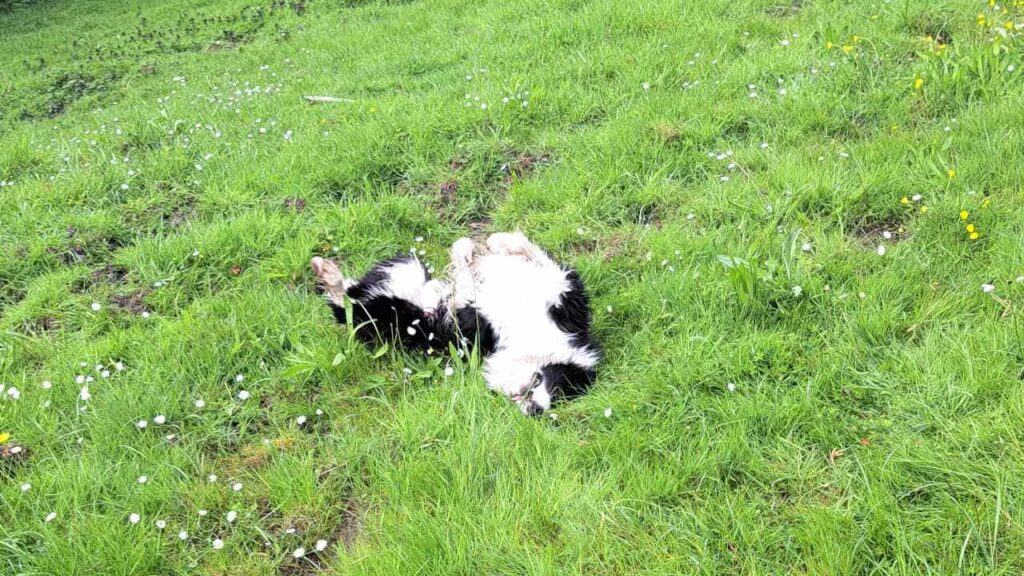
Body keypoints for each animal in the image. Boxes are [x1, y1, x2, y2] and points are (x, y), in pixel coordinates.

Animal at [311, 229, 598, 412]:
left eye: (561, 400)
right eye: (561, 390)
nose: (537, 411)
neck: (534, 339)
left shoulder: (469, 322)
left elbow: (465, 281)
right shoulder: (564, 296)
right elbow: (535, 254)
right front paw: (494, 242)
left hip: (396, 317)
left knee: (349, 306)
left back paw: (328, 273)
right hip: (407, 271)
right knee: (350, 299)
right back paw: (325, 269)